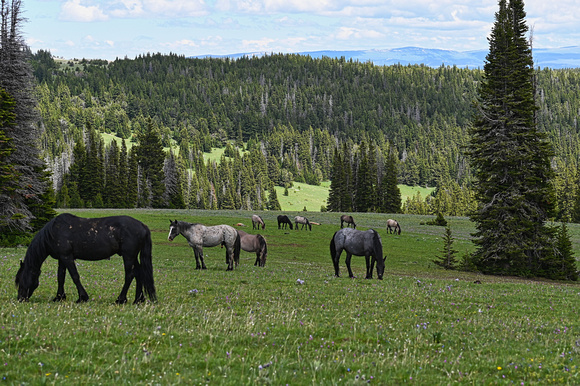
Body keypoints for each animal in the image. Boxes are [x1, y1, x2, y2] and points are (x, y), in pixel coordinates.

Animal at [14, 213, 156, 304]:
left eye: (22, 279)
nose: (20, 298)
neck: (54, 231)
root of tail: (143, 226)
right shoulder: (61, 258)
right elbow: (61, 277)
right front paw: (59, 297)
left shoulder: (67, 257)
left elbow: (75, 276)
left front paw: (82, 298)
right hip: (133, 256)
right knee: (139, 274)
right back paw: (138, 300)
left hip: (128, 256)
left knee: (130, 275)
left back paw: (120, 299)